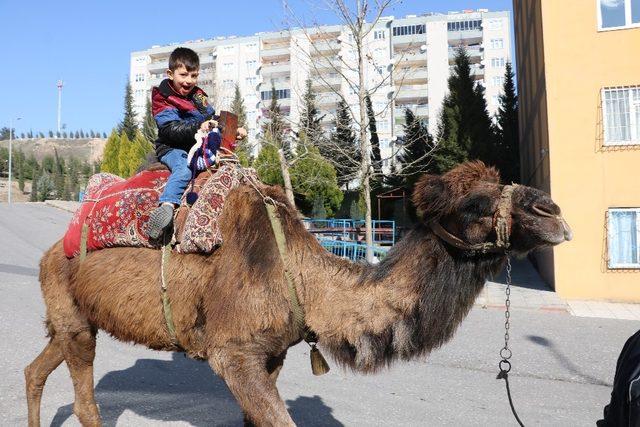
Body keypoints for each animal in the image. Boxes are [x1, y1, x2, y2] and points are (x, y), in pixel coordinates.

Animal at [26, 162, 576, 426]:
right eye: (475, 204)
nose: (553, 212)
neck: (307, 283)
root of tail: (53, 249)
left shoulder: (269, 356)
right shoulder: (233, 353)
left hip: (74, 316)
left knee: (36, 370)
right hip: (71, 308)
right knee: (86, 402)